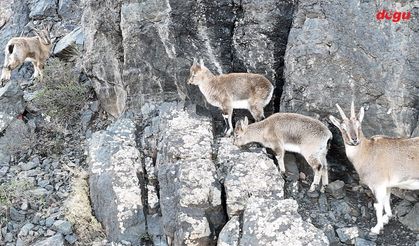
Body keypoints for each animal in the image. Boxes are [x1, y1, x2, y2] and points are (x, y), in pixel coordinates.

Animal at [330, 102, 419, 234]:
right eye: (343, 128)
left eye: (359, 126)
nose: (354, 140)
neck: (367, 152)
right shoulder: (386, 185)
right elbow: (386, 200)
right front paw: (387, 218)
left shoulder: (378, 184)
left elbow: (378, 205)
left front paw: (376, 228)